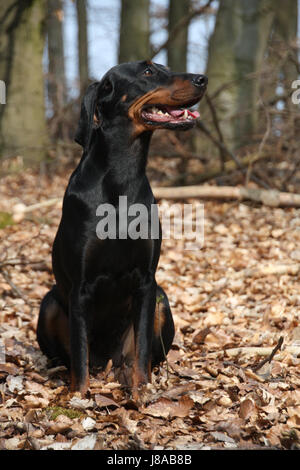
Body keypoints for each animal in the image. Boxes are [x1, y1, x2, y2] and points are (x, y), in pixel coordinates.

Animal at [37, 59, 206, 396]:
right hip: (49, 303)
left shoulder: (146, 281)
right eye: (148, 72)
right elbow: (79, 355)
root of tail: (106, 364)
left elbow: (141, 351)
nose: (202, 79)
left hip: (160, 300)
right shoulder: (80, 287)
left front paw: (141, 391)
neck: (121, 179)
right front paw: (79, 396)